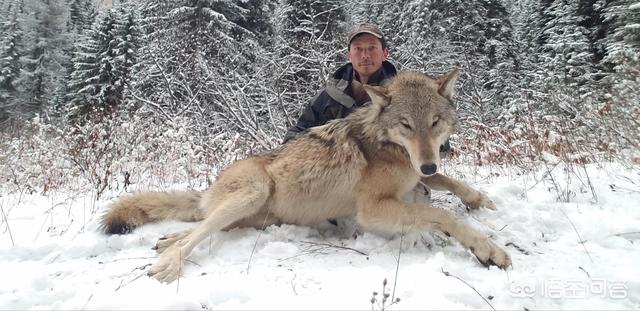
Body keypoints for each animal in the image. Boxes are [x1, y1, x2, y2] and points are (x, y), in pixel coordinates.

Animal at [100, 69, 510, 284]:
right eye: (407, 125)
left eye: (435, 123)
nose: (427, 165)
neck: (387, 146)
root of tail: (208, 189)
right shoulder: (373, 208)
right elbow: (442, 214)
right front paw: (488, 249)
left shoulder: (417, 175)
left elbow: (448, 182)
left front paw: (480, 200)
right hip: (254, 191)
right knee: (196, 233)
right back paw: (167, 264)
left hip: (251, 217)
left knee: (197, 228)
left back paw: (165, 241)